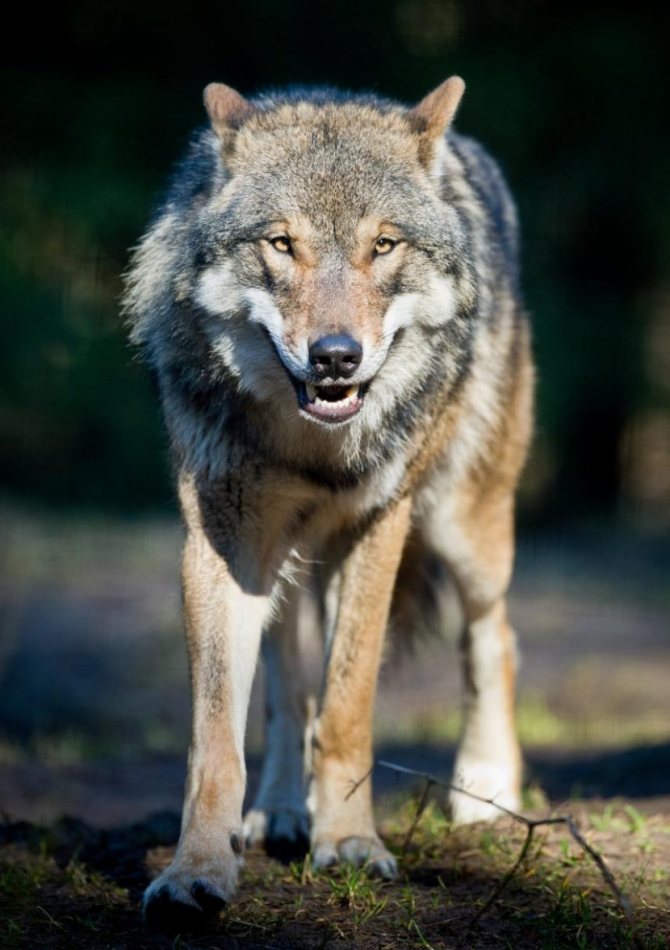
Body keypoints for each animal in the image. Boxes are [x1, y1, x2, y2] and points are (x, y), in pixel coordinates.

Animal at [123, 76, 533, 927]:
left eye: (383, 245)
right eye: (282, 244)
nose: (336, 356)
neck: (312, 449)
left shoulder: (377, 530)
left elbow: (347, 708)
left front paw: (347, 843)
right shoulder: (222, 545)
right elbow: (220, 738)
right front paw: (198, 869)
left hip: (465, 530)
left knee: (495, 637)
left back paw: (484, 789)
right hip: (284, 568)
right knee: (288, 688)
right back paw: (281, 811)